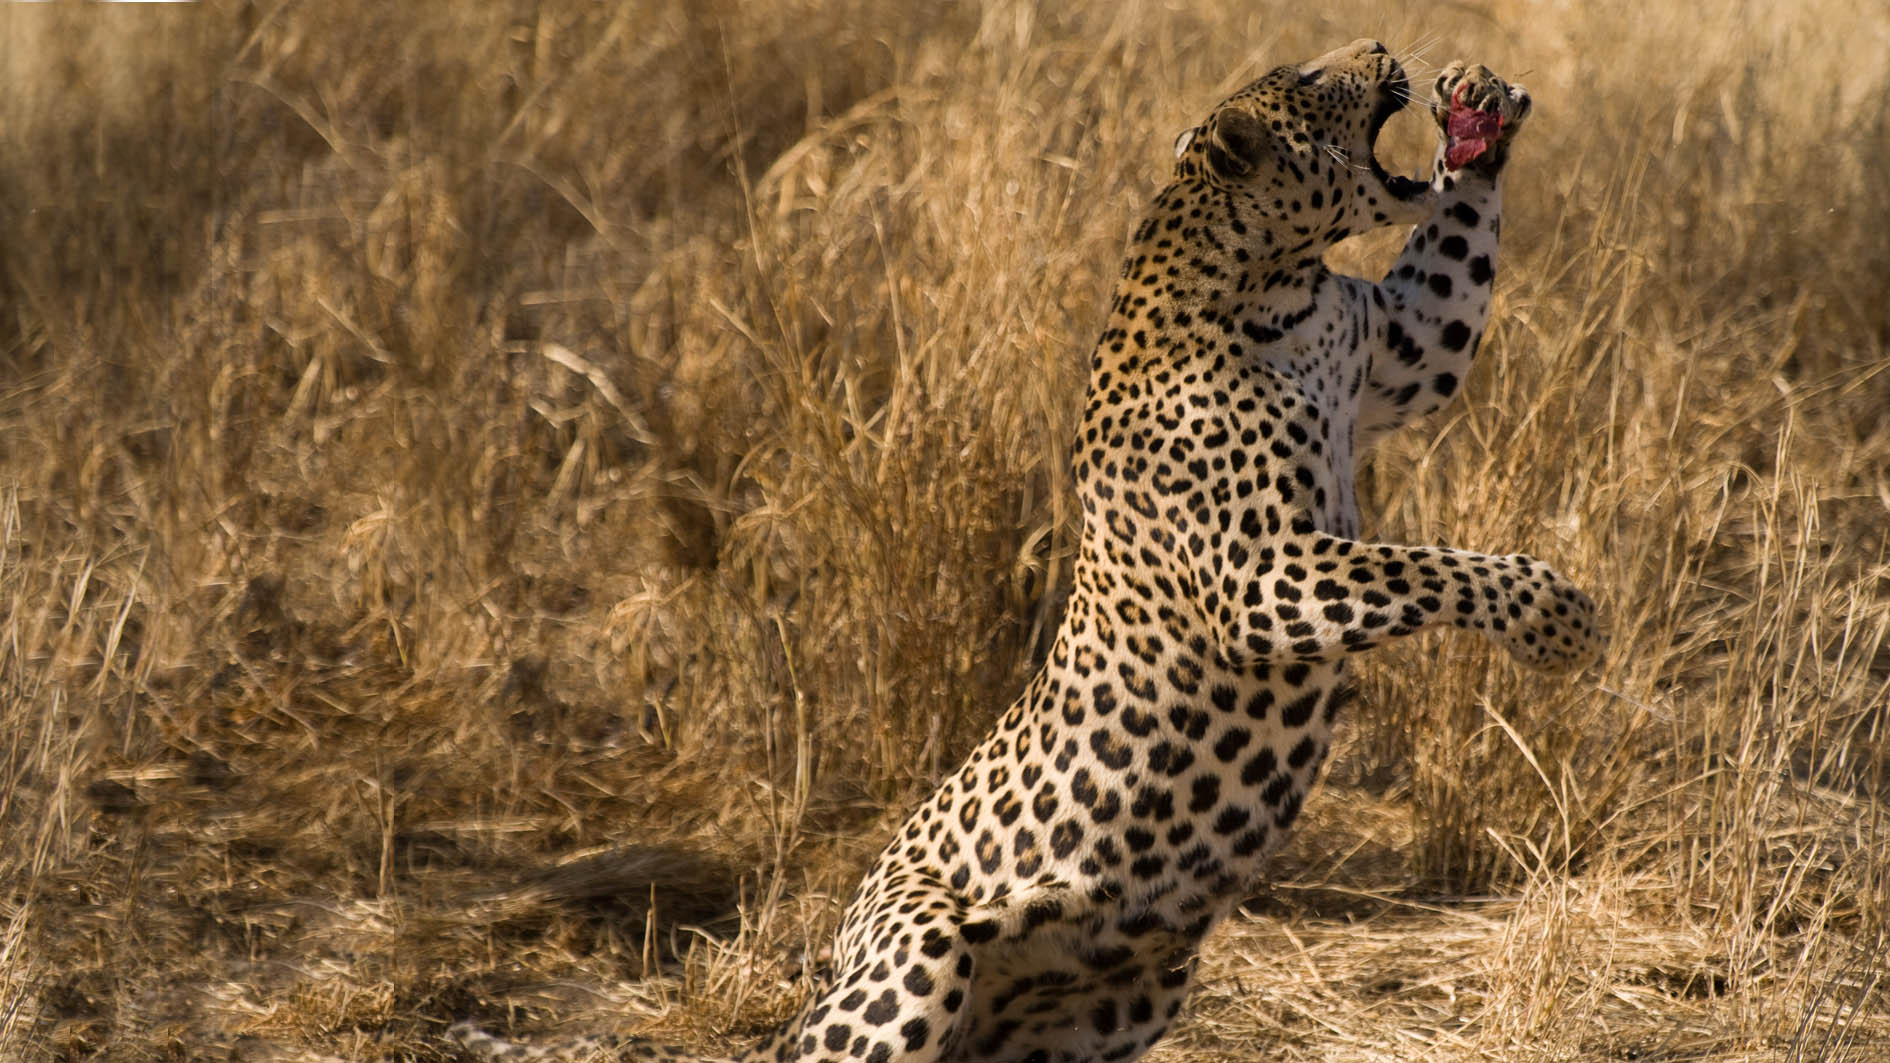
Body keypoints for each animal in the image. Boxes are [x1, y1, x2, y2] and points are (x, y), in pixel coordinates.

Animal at [452, 38, 1602, 1063]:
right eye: (1314, 79)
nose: (1380, 47)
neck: (1275, 280)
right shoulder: (1260, 576)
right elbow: (1430, 564)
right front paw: (1555, 620)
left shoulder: (1402, 354)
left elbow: (1448, 278)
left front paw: (1479, 113)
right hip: (916, 952)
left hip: (1124, 993)